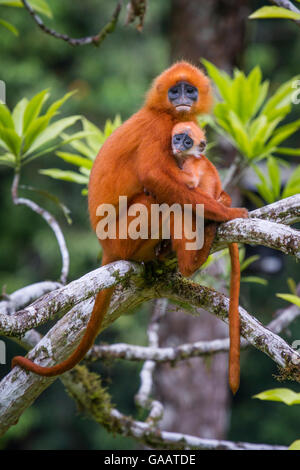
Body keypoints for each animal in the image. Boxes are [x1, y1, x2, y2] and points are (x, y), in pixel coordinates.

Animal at [11, 61, 246, 382]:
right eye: (174, 91)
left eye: (190, 90)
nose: (183, 99)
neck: (166, 114)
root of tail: (106, 247)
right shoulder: (159, 129)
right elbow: (154, 178)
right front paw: (227, 213)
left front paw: (222, 199)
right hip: (123, 238)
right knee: (156, 200)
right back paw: (190, 261)